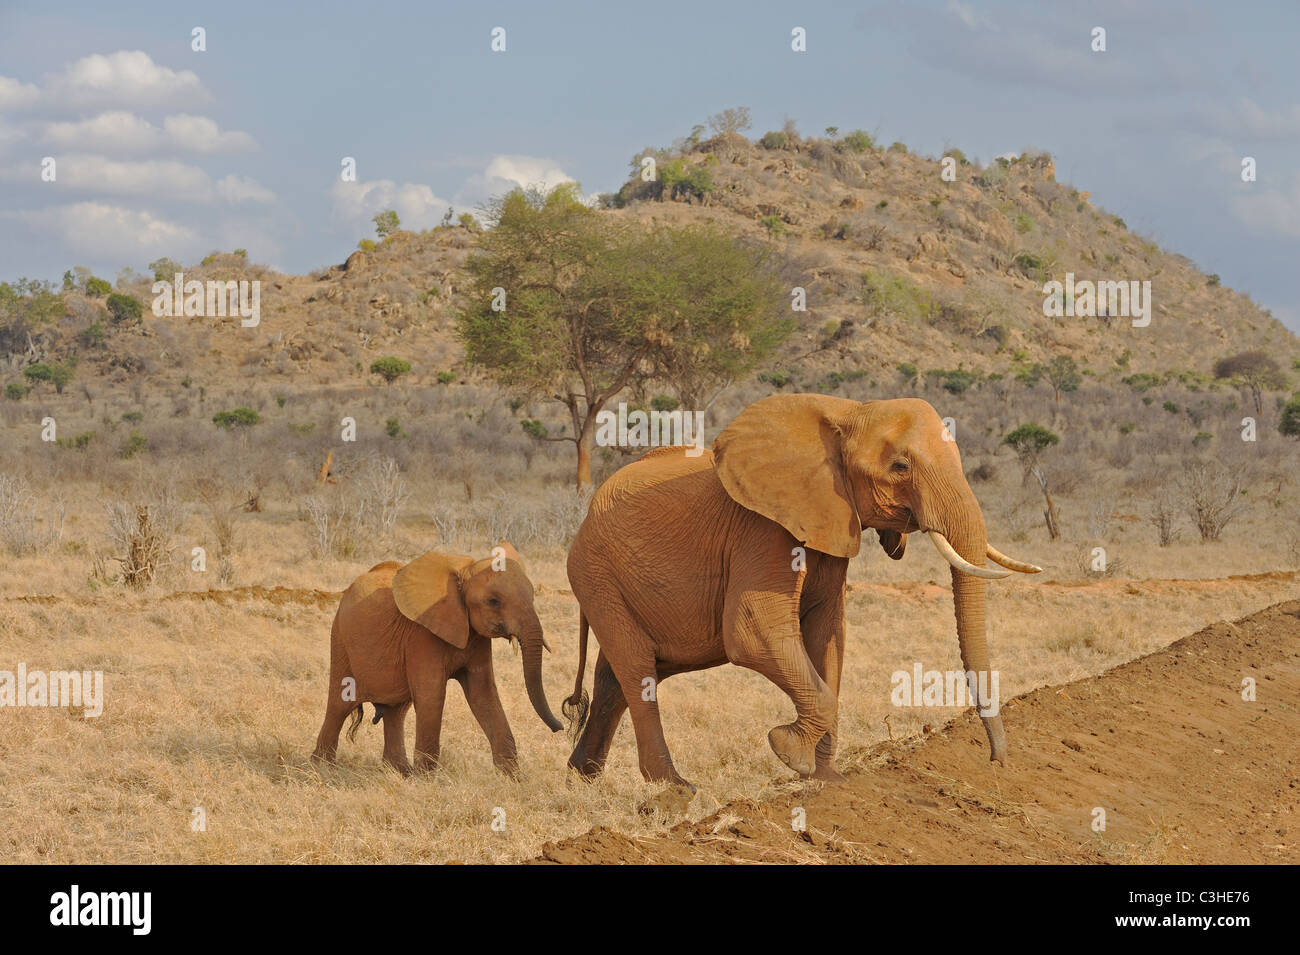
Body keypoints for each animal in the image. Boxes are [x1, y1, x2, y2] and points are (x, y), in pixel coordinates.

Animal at [314, 540, 564, 779]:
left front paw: (515, 779)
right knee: (340, 704)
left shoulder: (476, 636)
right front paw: (427, 780)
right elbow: (432, 694)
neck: (464, 572)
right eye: (493, 601)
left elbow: (483, 694)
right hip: (340, 640)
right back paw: (323, 767)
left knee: (397, 710)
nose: (560, 727)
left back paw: (399, 772)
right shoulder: (421, 636)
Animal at [564, 392, 1040, 789]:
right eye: (901, 467)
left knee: (617, 676)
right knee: (636, 667)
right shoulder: (762, 529)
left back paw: (583, 778)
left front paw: (828, 779)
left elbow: (828, 636)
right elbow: (753, 631)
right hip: (594, 573)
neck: (848, 411)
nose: (996, 762)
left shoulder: (833, 520)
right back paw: (674, 790)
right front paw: (788, 752)